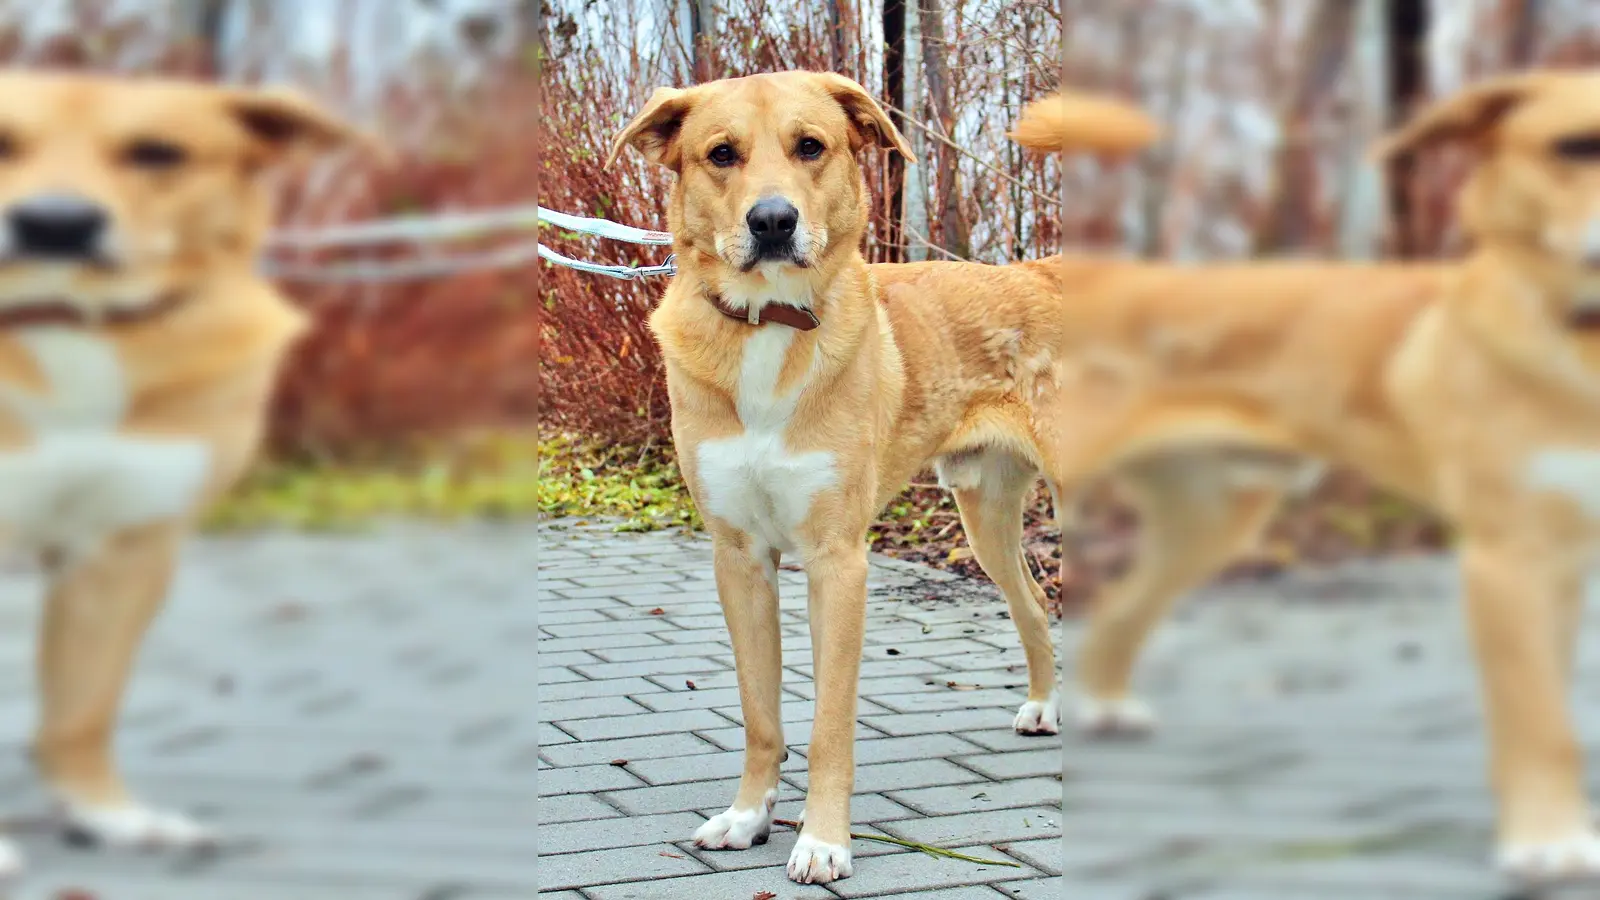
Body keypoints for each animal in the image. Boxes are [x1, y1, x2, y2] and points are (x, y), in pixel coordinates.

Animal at [0, 73, 360, 871]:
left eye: (157, 152)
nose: (54, 225)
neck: (68, 326)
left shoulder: (124, 551)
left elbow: (84, 709)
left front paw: (107, 814)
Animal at [1011, 71, 1600, 883]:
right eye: (1575, 146)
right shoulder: (1512, 558)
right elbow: (1540, 722)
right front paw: (1548, 839)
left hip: (1215, 520)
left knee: (1123, 611)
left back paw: (1107, 708)